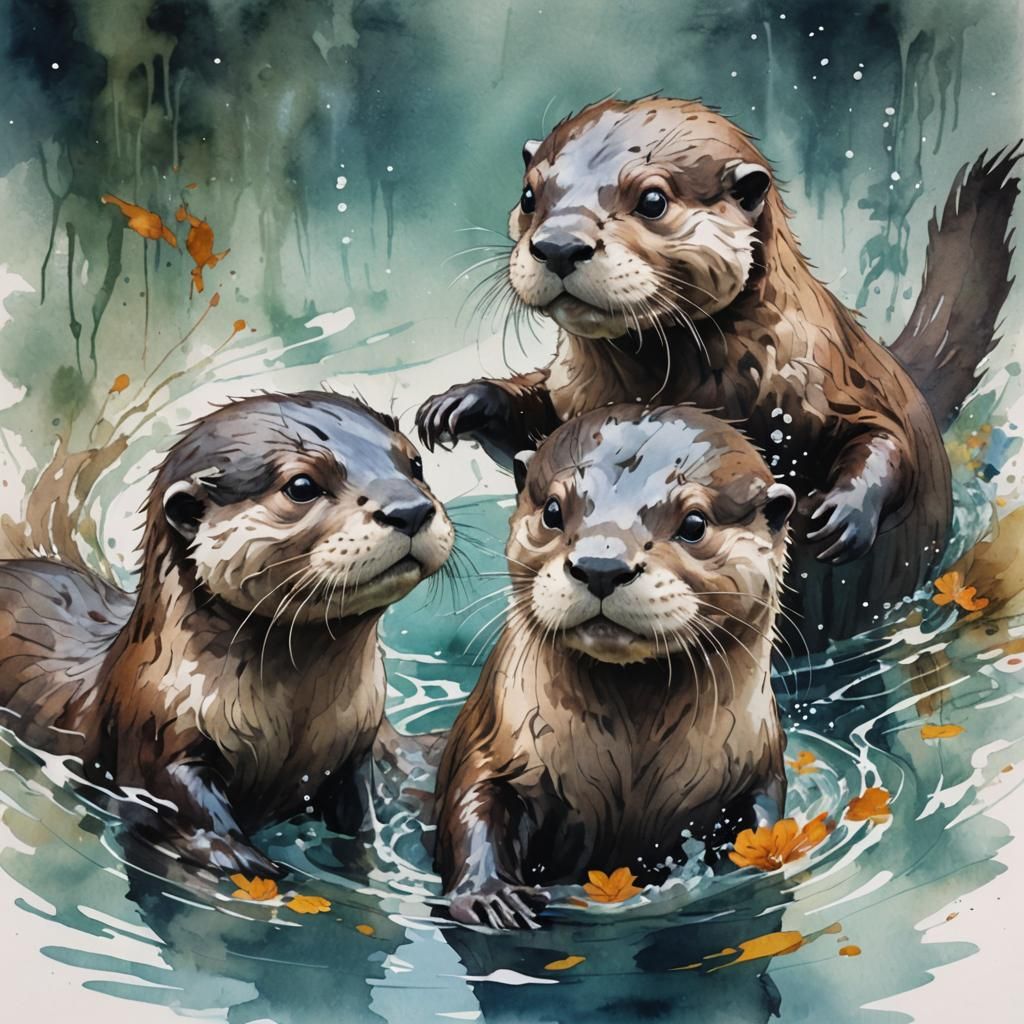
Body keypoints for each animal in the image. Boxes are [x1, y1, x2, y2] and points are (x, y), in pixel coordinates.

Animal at [0, 392, 453, 876]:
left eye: (416, 463)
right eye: (302, 486)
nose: (410, 509)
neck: (292, 732)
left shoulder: (355, 748)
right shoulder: (156, 736)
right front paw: (243, 857)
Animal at [417, 97, 1020, 645]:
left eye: (652, 199)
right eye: (529, 195)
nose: (559, 245)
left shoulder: (831, 380)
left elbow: (884, 437)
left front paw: (841, 512)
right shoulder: (570, 395)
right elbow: (532, 426)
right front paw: (463, 403)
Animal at [433, 404, 795, 929]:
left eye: (694, 523)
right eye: (553, 511)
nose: (601, 565)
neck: (632, 764)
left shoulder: (757, 768)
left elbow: (761, 823)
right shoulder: (498, 744)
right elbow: (475, 801)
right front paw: (490, 897)